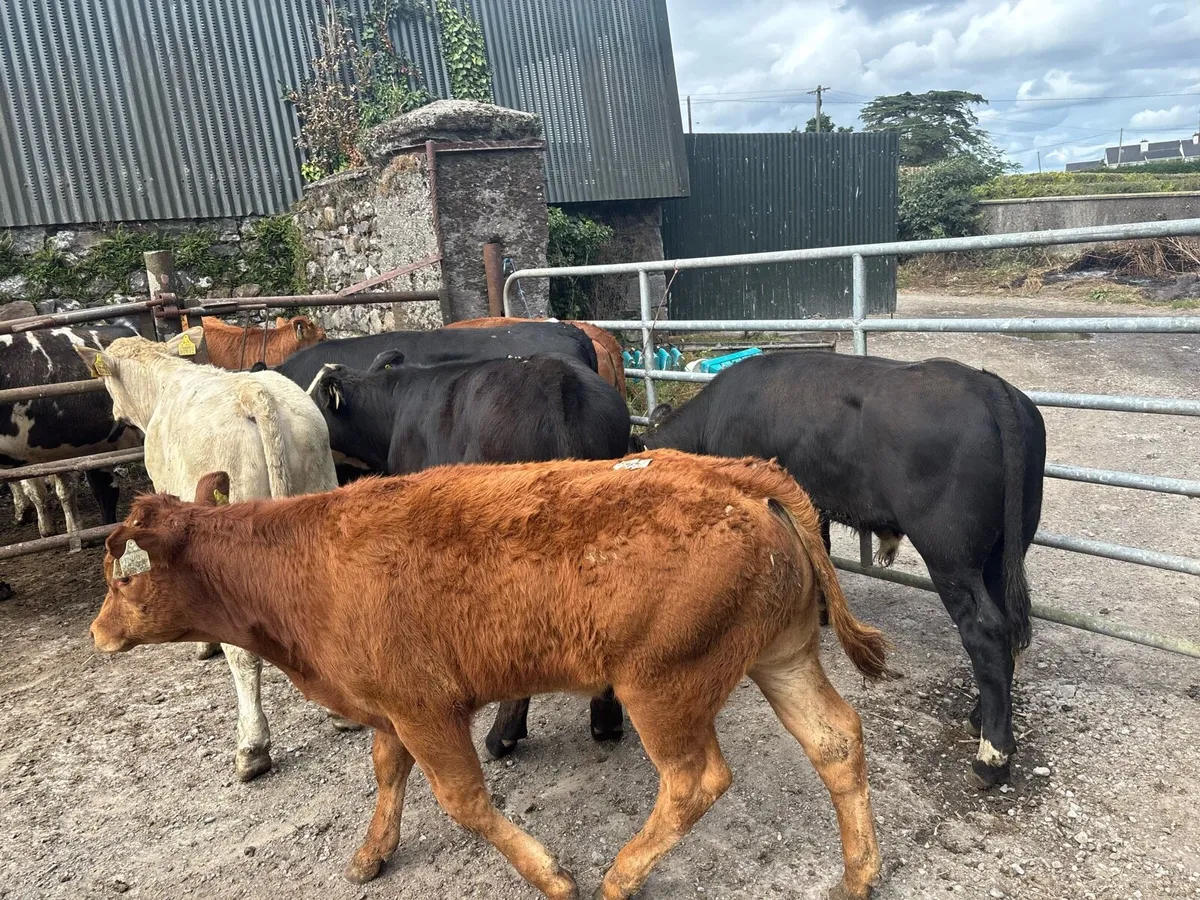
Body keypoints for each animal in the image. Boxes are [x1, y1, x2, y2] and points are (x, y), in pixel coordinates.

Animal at [91, 452, 888, 899]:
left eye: (122, 574)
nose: (98, 631)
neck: (305, 560)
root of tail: (736, 475)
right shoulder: (389, 707)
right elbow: (387, 774)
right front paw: (372, 853)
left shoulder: (425, 708)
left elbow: (463, 800)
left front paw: (552, 876)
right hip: (781, 656)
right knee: (836, 740)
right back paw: (858, 876)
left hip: (665, 685)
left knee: (696, 781)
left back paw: (619, 877)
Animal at [634, 351, 1046, 789]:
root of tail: (986, 384)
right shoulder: (810, 503)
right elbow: (820, 550)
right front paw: (820, 612)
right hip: (1001, 553)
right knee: (1006, 628)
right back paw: (980, 718)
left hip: (951, 554)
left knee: (985, 633)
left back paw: (991, 756)